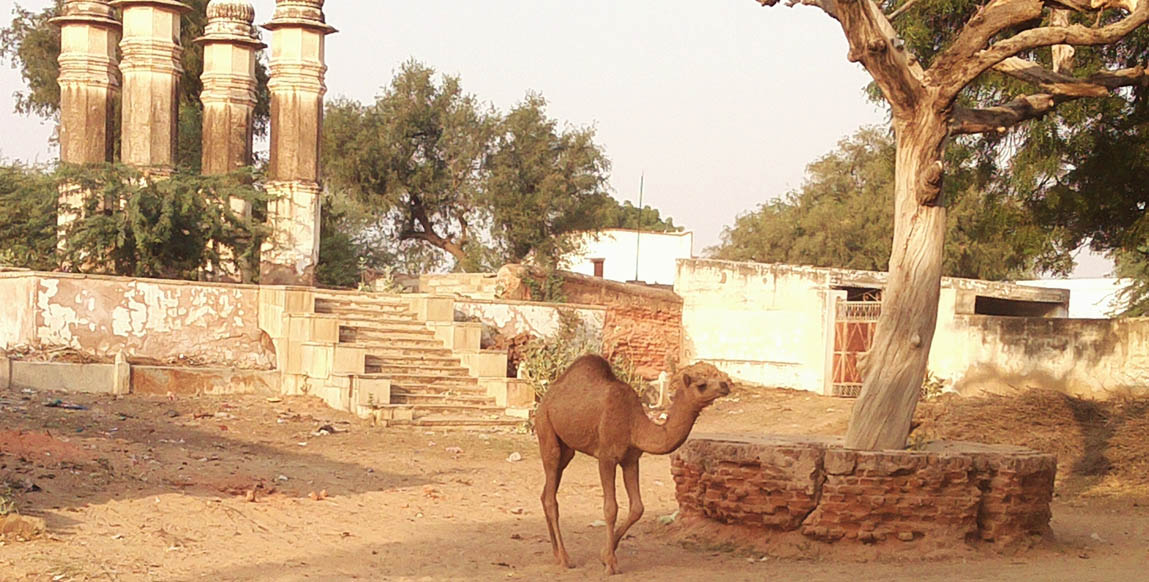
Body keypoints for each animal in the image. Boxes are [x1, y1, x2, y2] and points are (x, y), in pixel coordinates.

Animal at [535, 353, 730, 576]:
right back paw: (565, 559)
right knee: (551, 494)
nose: (725, 385)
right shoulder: (606, 457)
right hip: (546, 427)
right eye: (701, 384)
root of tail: (547, 397)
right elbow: (610, 508)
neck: (634, 424)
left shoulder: (631, 460)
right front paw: (610, 564)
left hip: (567, 448)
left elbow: (637, 507)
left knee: (546, 492)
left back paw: (556, 554)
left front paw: (605, 555)